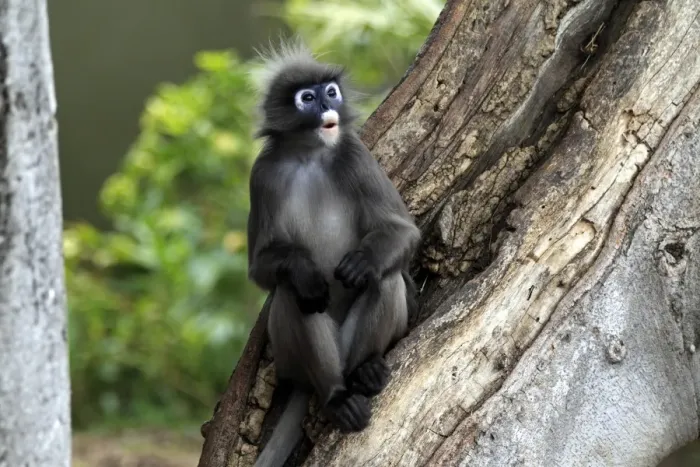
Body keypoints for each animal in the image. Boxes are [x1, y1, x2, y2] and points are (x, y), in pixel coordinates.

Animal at [246, 41, 420, 467]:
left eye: (331, 92)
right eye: (307, 98)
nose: (328, 106)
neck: (310, 154)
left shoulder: (355, 153)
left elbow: (403, 231)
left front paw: (365, 261)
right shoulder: (262, 175)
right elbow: (262, 269)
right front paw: (304, 269)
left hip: (353, 339)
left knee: (385, 279)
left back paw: (367, 369)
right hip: (292, 357)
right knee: (297, 295)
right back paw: (336, 395)